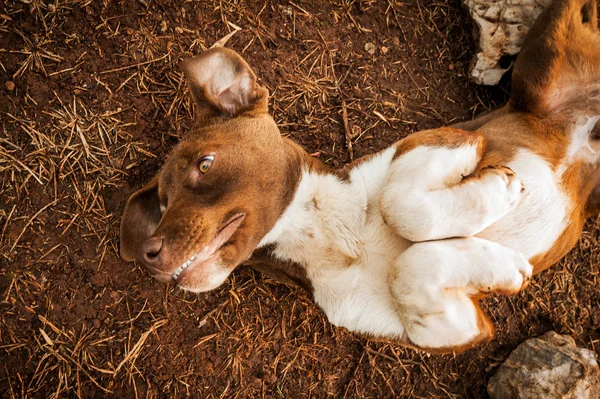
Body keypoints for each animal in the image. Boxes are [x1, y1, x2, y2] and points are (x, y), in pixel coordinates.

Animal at [118, 0, 600, 354]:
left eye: (205, 164)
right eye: (162, 203)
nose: (148, 254)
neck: (332, 237)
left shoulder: (451, 141)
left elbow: (398, 205)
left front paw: (501, 190)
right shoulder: (455, 329)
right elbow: (412, 267)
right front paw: (500, 268)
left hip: (546, 47)